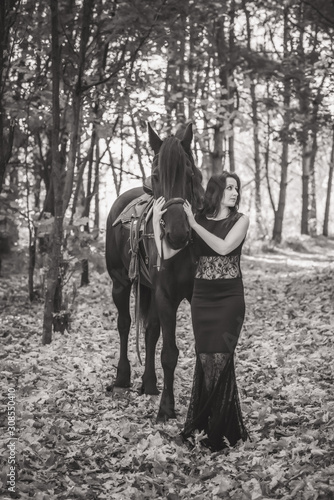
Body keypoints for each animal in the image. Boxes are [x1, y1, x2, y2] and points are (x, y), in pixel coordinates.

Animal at [105, 123, 202, 420]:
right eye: (157, 176)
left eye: (190, 174)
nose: (177, 234)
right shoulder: (165, 295)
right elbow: (169, 353)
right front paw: (166, 409)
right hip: (120, 282)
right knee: (125, 325)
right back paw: (122, 378)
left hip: (147, 288)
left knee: (149, 331)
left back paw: (148, 384)